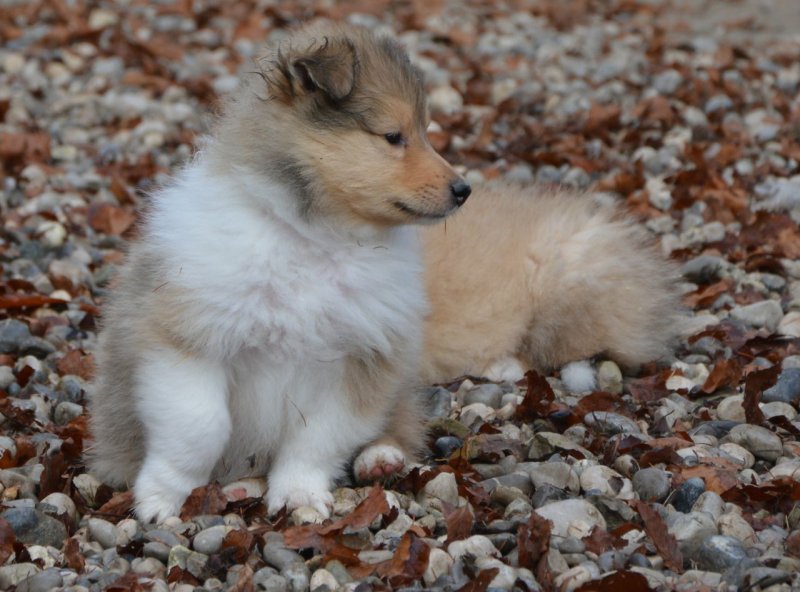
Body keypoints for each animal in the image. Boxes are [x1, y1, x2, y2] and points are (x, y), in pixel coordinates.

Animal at [88, 21, 682, 523]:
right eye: (393, 136)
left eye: (425, 131)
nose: (463, 190)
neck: (316, 239)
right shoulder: (183, 341)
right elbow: (199, 427)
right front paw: (162, 498)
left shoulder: (361, 364)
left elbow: (314, 440)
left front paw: (300, 497)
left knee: (400, 425)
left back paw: (382, 458)